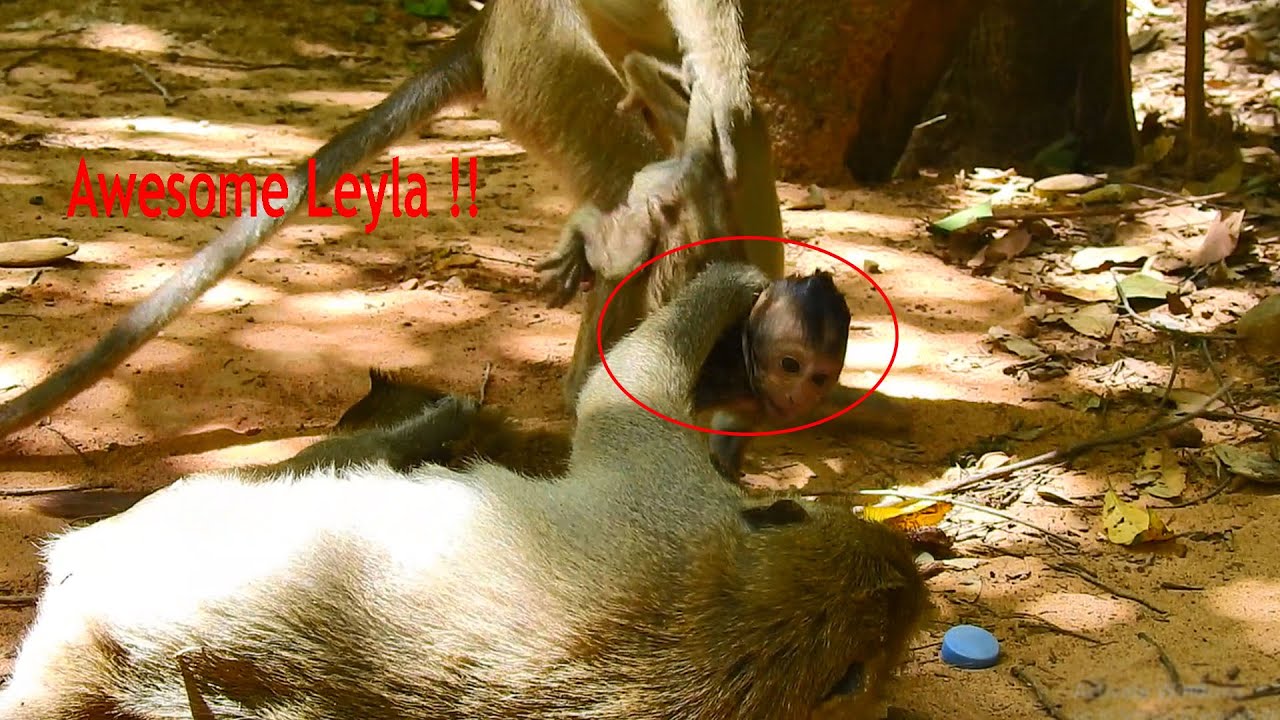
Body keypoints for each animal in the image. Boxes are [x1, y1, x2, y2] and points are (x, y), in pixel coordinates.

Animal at [0, 262, 928, 720]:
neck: (768, 627)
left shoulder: (666, 502)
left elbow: (620, 393)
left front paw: (736, 281)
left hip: (185, 518)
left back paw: (421, 430)